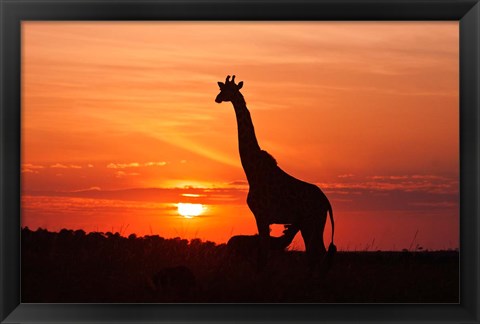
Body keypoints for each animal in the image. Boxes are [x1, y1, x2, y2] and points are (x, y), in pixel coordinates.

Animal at [216, 76, 336, 268]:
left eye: (230, 90)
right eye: (221, 88)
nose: (217, 98)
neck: (252, 171)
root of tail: (326, 202)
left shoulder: (262, 215)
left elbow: (263, 257)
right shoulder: (263, 218)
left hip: (314, 221)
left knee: (319, 254)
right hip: (310, 223)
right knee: (317, 255)